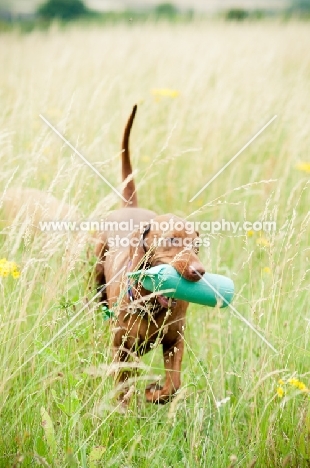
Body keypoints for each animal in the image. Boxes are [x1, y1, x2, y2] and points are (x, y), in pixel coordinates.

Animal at [94, 105, 206, 402]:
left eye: (197, 246)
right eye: (172, 240)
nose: (199, 272)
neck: (152, 304)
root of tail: (130, 206)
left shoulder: (174, 342)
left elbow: (173, 385)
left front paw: (153, 394)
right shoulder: (122, 349)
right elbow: (122, 388)